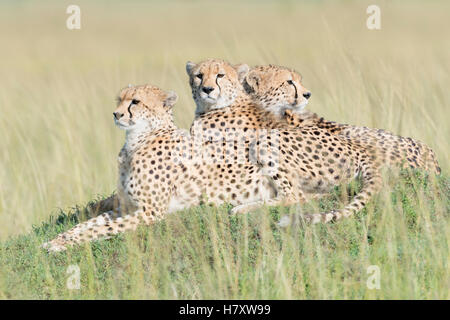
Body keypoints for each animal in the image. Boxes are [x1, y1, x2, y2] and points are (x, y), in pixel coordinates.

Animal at [42, 84, 280, 252]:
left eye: (135, 101)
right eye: (120, 99)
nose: (116, 114)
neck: (139, 139)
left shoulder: (151, 212)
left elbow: (101, 229)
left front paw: (61, 245)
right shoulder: (125, 207)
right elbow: (87, 223)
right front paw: (57, 240)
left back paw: (242, 208)